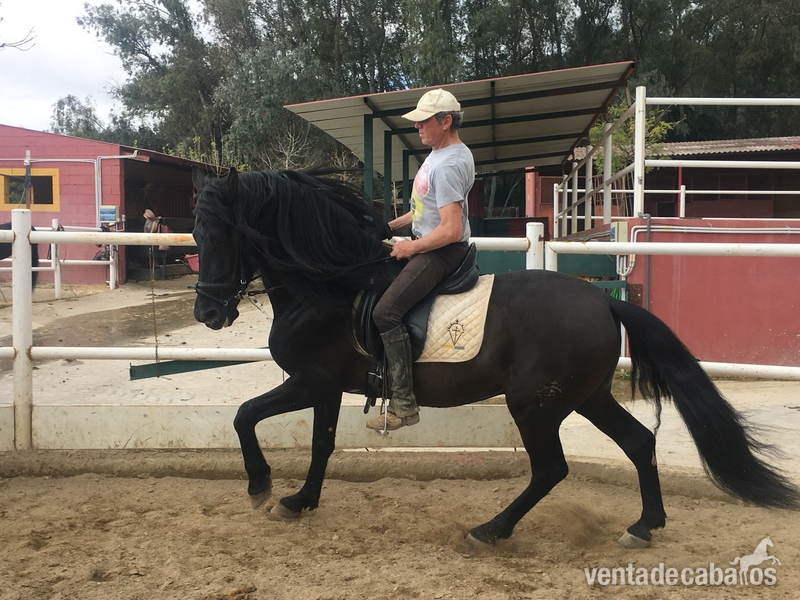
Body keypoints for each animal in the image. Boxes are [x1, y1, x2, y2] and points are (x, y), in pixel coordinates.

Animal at [191, 166, 799, 549]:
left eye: (219, 235)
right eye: (195, 235)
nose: (207, 313)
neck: (331, 287)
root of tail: (604, 299)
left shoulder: (309, 381)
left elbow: (244, 416)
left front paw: (261, 488)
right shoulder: (326, 386)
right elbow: (320, 444)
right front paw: (299, 501)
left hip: (534, 405)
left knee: (551, 468)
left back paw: (491, 530)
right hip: (585, 397)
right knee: (638, 442)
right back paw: (644, 526)